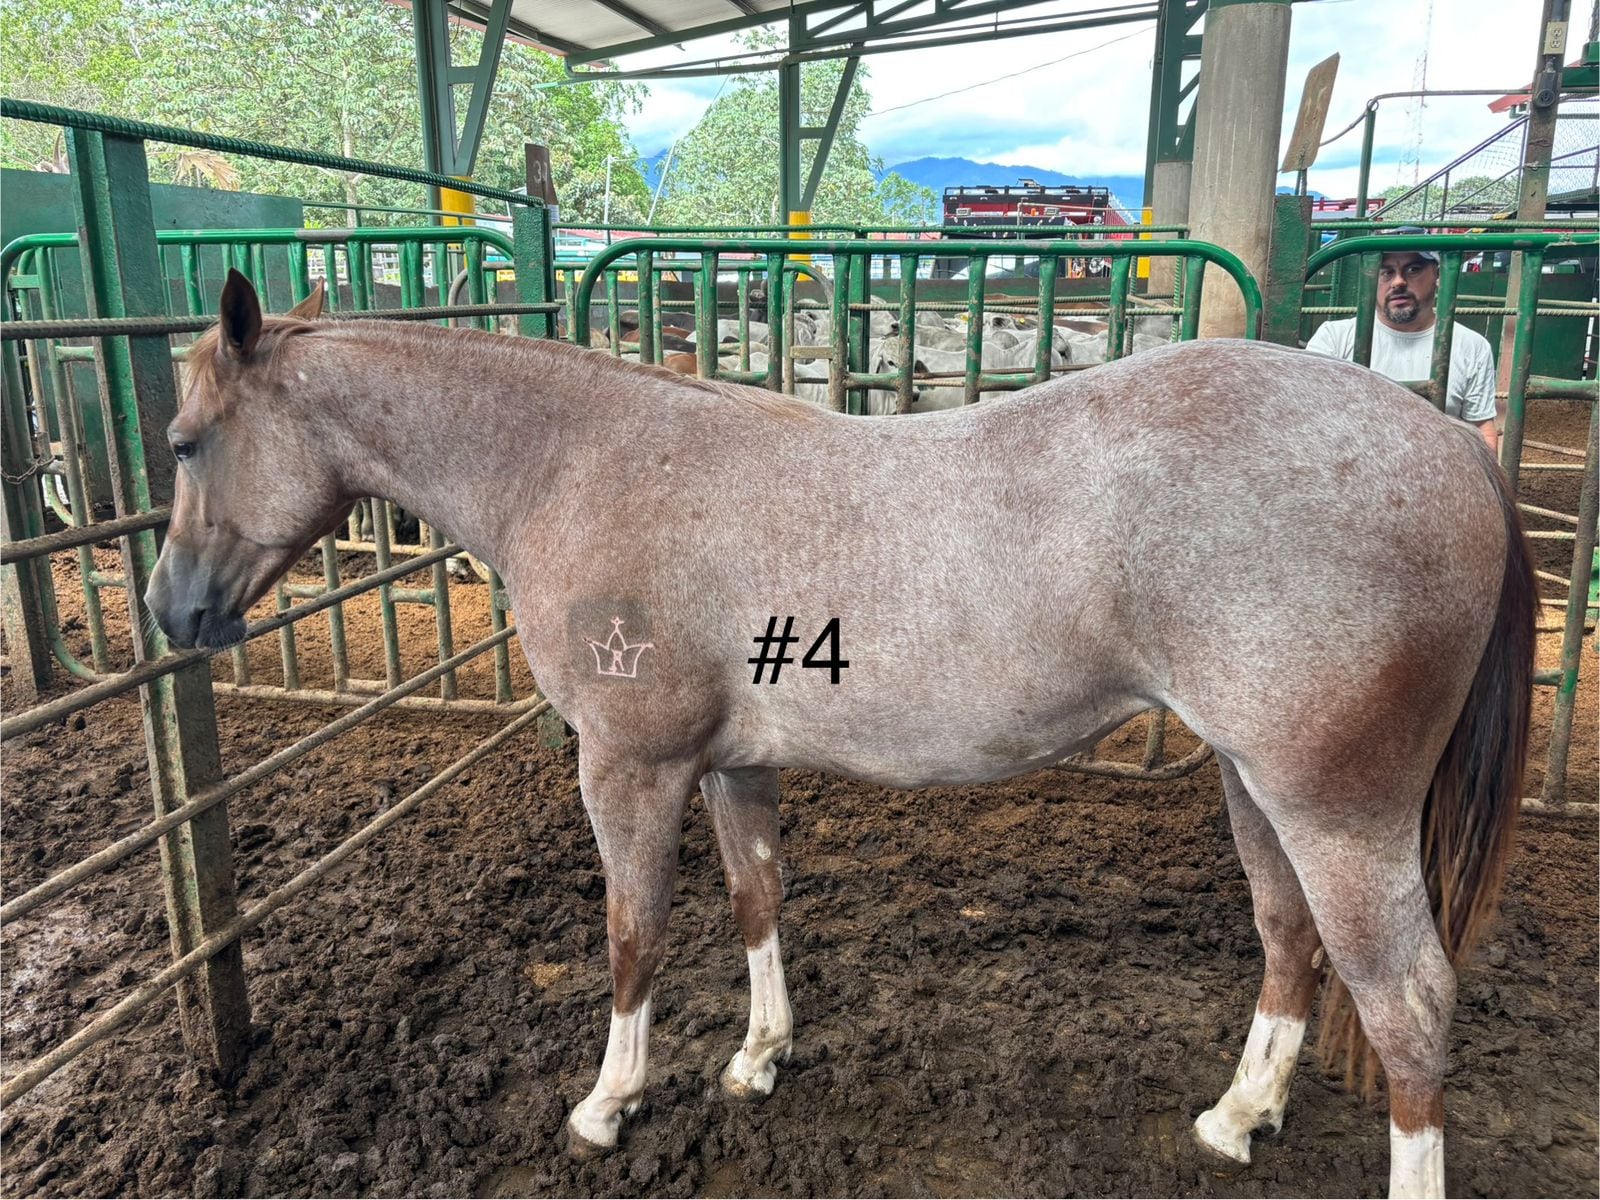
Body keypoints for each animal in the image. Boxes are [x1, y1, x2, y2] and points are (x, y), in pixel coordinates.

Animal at [147, 271, 1533, 1199]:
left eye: (186, 440)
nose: (171, 610)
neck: (578, 465)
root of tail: (1448, 448)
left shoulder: (631, 768)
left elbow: (633, 933)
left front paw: (609, 1102)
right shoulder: (733, 765)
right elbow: (758, 899)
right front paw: (758, 1058)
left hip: (1337, 810)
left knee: (1406, 1002)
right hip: (1257, 787)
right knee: (1289, 941)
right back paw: (1236, 1117)